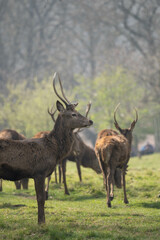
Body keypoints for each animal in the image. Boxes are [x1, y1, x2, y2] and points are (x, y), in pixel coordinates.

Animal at [0, 72, 92, 223]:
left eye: (78, 111)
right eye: (73, 114)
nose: (90, 121)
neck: (54, 150)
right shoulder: (39, 172)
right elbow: (41, 199)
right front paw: (41, 223)